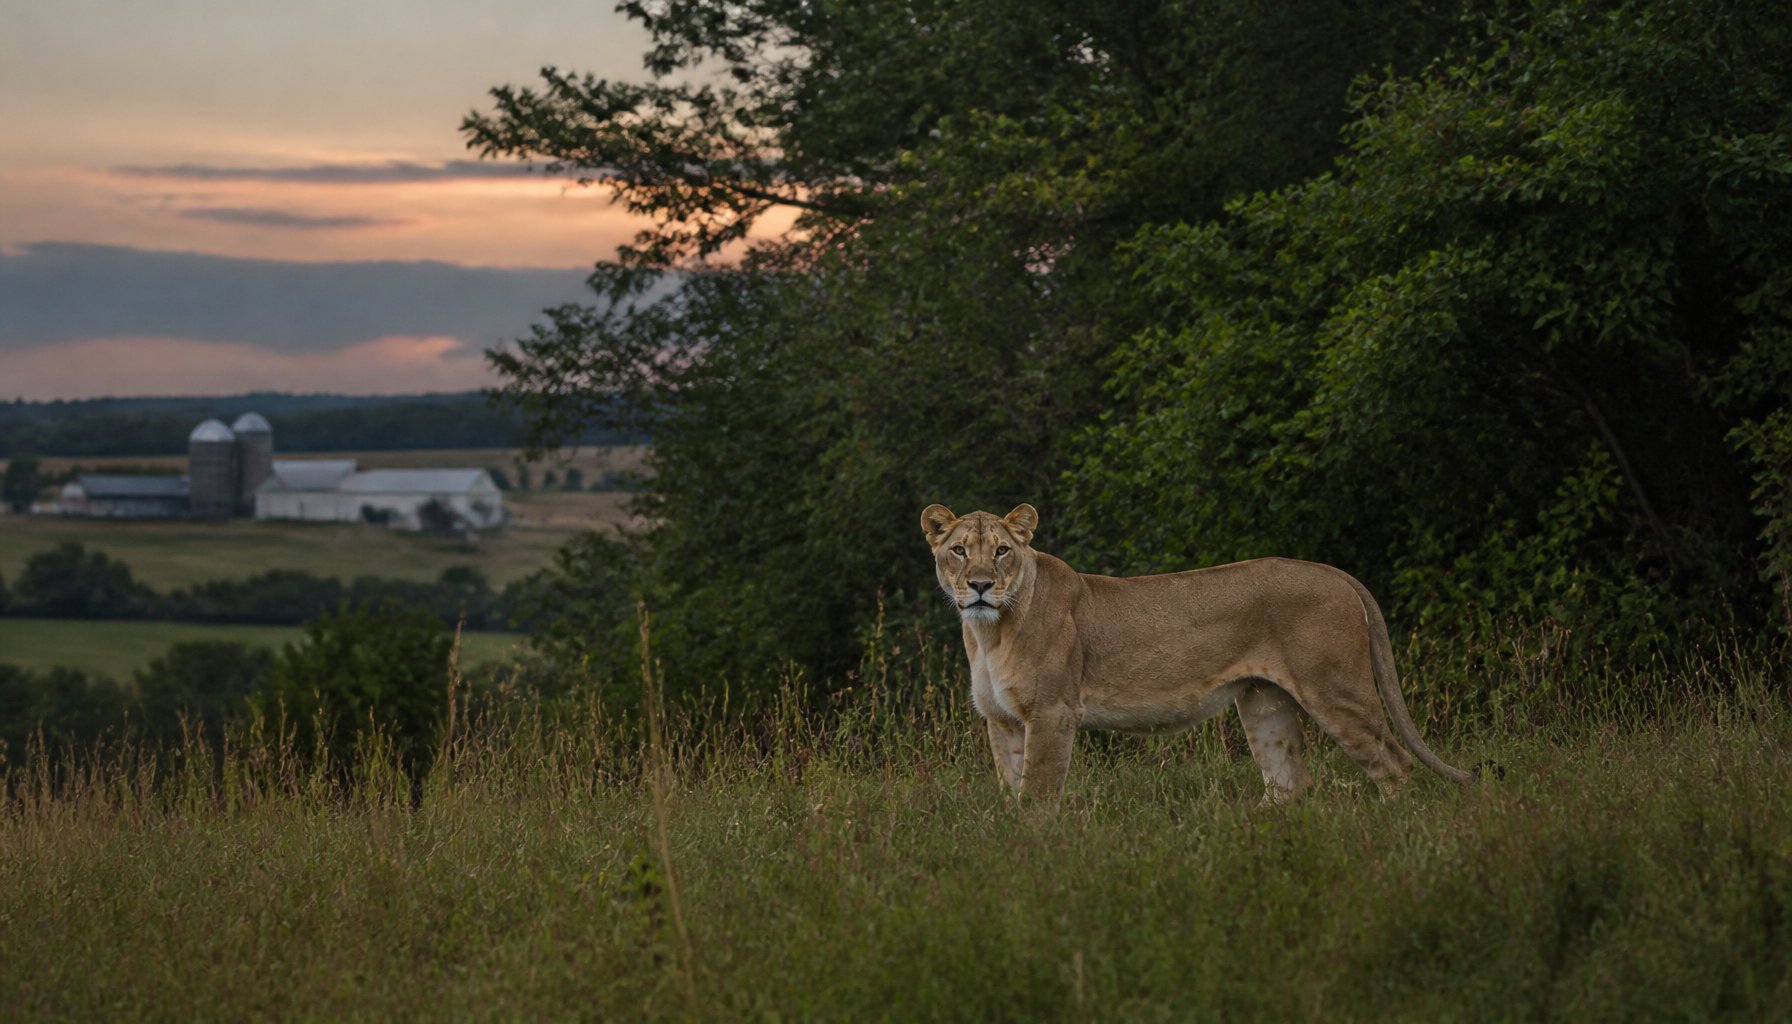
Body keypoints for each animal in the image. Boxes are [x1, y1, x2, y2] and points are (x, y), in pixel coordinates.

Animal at [921, 502, 1469, 809]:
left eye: (1002, 551)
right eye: (959, 551)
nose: (980, 586)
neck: (989, 633)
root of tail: (1333, 571)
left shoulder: (1053, 713)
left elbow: (1035, 796)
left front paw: (1034, 860)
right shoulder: (1003, 720)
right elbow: (1011, 791)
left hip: (1336, 690)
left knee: (1395, 763)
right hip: (1264, 702)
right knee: (1289, 783)